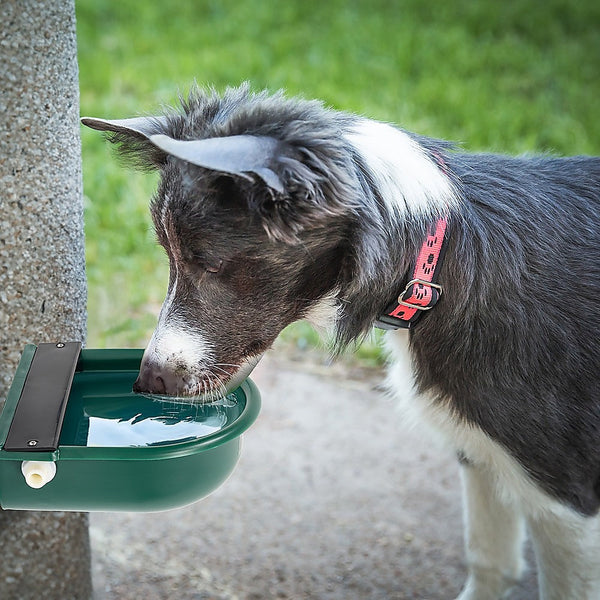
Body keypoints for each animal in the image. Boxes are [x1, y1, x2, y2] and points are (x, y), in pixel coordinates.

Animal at [83, 84, 600, 600]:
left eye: (208, 263)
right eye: (168, 256)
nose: (147, 382)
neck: (438, 260)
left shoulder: (565, 503)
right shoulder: (480, 451)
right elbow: (490, 562)